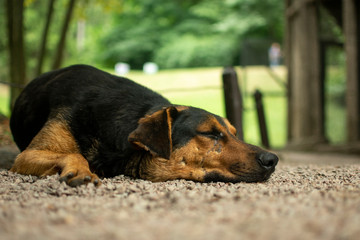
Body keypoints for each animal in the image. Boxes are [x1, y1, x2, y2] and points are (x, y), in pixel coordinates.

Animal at [9, 64, 278, 187]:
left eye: (234, 133)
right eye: (209, 133)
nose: (273, 159)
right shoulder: (25, 157)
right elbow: (75, 154)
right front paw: (80, 170)